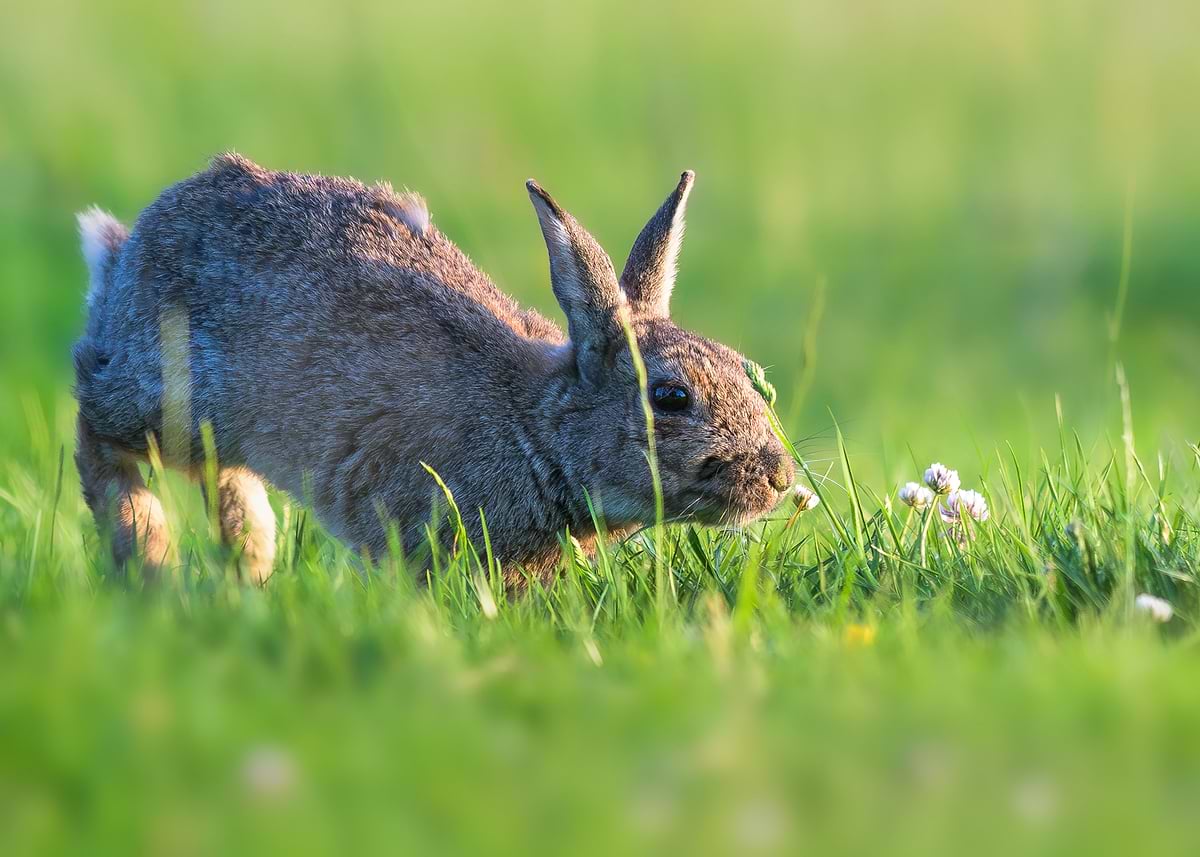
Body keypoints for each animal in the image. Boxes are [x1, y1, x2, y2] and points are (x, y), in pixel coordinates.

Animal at [73, 154, 796, 587]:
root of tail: (127, 251)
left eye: (742, 371)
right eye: (671, 395)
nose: (780, 477)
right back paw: (147, 557)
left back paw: (249, 566)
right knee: (94, 424)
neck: (538, 428)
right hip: (168, 395)